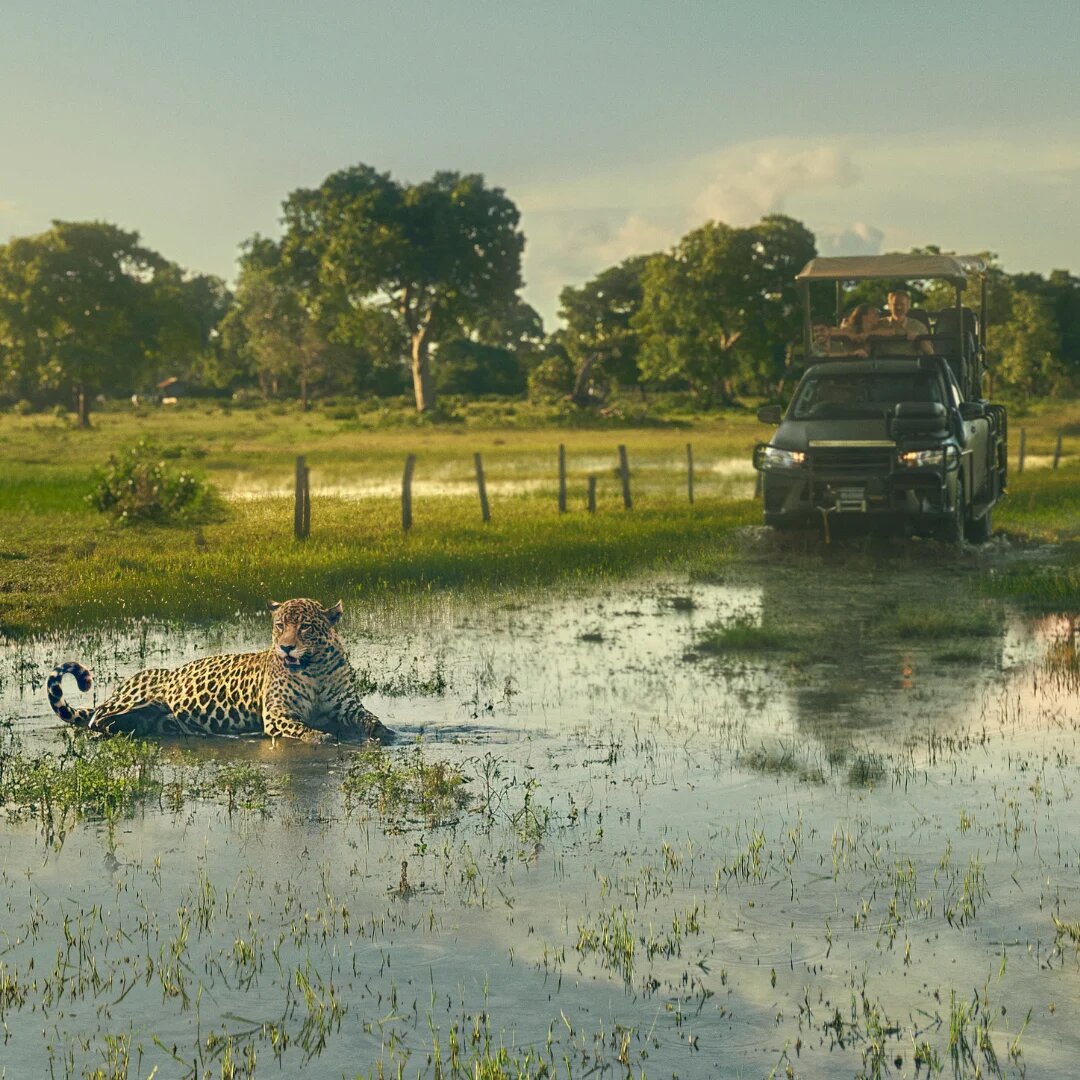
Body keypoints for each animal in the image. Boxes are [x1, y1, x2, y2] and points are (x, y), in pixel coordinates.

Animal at [46, 598, 391, 744]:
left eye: (305, 627)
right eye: (280, 625)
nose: (286, 648)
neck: (314, 669)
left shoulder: (348, 707)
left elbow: (371, 719)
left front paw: (384, 733)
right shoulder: (277, 714)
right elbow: (301, 728)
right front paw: (321, 736)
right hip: (134, 696)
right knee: (95, 719)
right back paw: (110, 727)